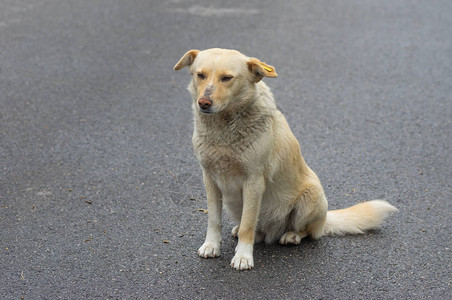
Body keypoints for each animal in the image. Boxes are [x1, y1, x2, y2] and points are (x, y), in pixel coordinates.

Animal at [173, 48, 396, 270]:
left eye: (227, 78)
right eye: (200, 75)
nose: (204, 103)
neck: (223, 130)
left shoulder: (254, 182)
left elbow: (248, 225)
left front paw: (243, 256)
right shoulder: (210, 179)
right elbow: (214, 220)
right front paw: (211, 246)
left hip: (312, 196)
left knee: (307, 231)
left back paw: (291, 235)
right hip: (233, 202)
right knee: (252, 226)